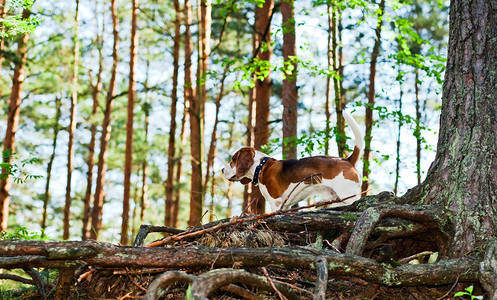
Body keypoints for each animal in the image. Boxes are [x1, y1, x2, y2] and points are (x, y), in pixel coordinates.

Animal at [223, 111, 362, 212]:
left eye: (233, 159)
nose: (222, 170)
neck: (261, 167)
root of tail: (347, 160)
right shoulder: (284, 206)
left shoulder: (276, 203)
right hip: (338, 200)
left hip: (348, 194)